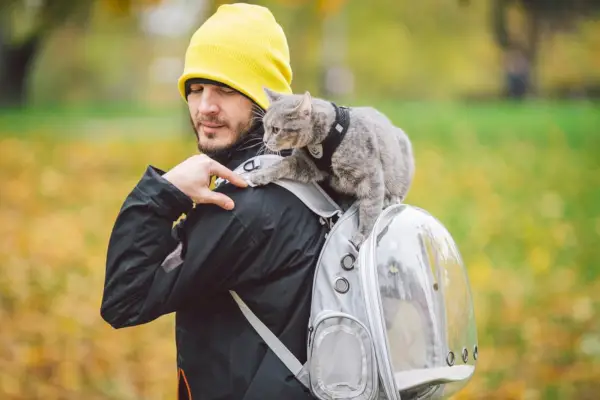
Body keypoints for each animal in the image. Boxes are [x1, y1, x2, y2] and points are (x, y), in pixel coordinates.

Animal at [246, 89, 414, 248]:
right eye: (265, 126)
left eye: (276, 129)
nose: (264, 140)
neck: (325, 138)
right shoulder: (305, 164)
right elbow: (281, 165)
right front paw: (260, 175)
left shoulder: (369, 176)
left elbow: (370, 207)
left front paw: (362, 235)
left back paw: (391, 198)